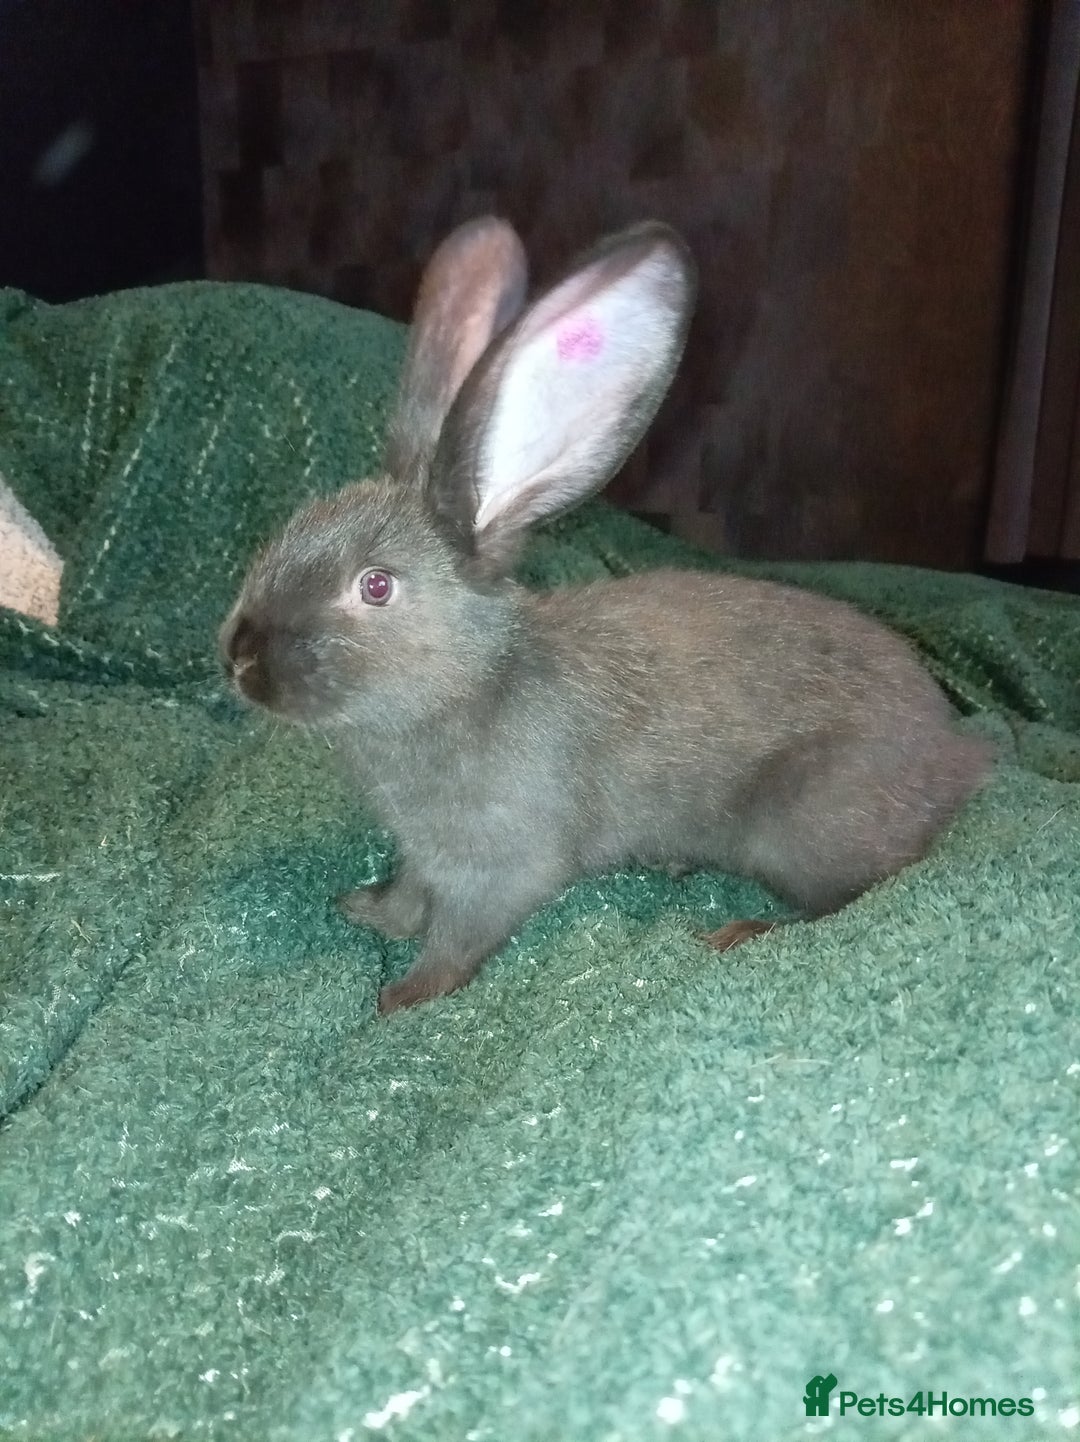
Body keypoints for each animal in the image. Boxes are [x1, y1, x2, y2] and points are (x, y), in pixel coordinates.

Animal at [220, 215, 992, 1015]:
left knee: (851, 897)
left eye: (375, 586)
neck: (469, 684)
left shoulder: (497, 869)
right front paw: (365, 910)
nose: (239, 658)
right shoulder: (422, 852)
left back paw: (741, 931)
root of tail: (956, 753)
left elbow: (456, 941)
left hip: (807, 828)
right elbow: (409, 896)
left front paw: (400, 1000)